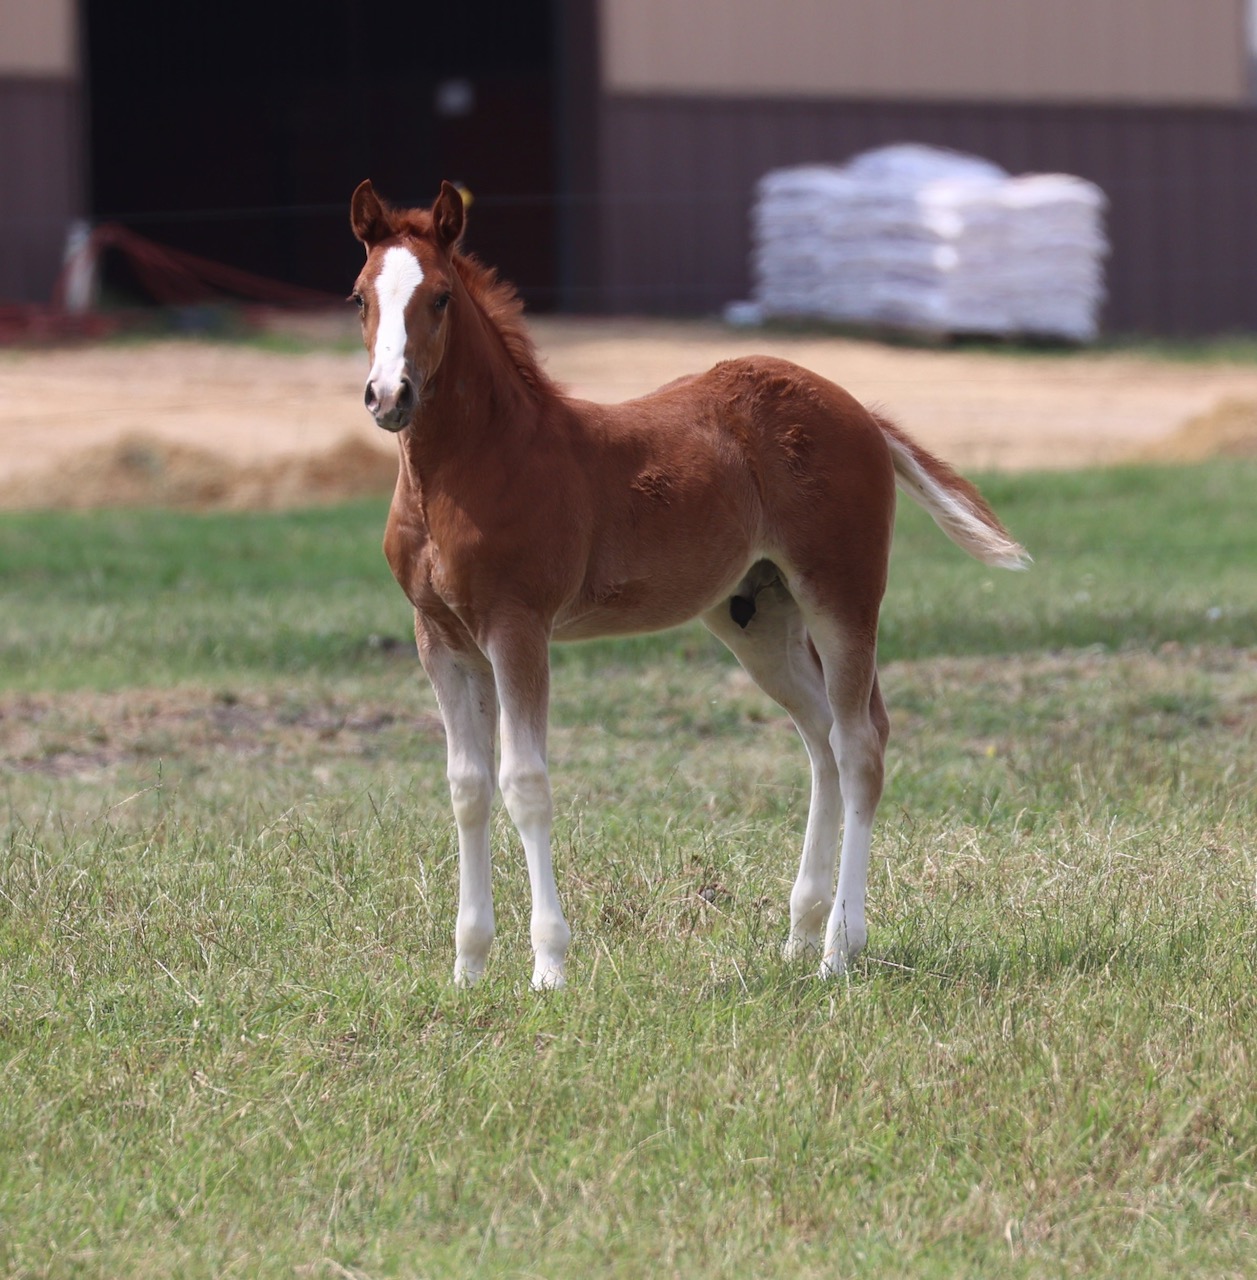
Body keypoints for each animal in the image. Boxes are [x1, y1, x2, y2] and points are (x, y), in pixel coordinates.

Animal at [349, 179, 1028, 990]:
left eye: (442, 297)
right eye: (359, 296)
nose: (389, 395)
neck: (473, 465)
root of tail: (861, 411)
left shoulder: (517, 628)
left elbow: (525, 784)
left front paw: (549, 967)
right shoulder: (442, 638)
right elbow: (467, 788)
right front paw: (468, 968)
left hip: (842, 593)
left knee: (860, 743)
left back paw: (839, 949)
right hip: (757, 617)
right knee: (823, 740)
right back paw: (799, 933)